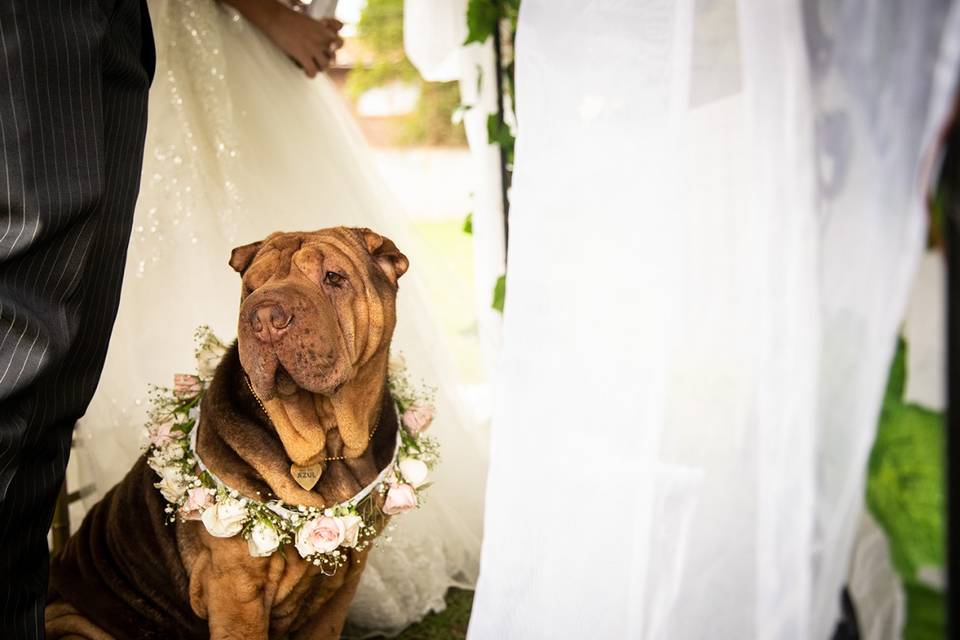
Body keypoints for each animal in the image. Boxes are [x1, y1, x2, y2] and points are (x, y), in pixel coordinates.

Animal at [47, 228, 406, 636]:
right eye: (251, 287)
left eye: (333, 277)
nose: (265, 316)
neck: (328, 443)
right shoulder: (236, 588)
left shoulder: (341, 589)